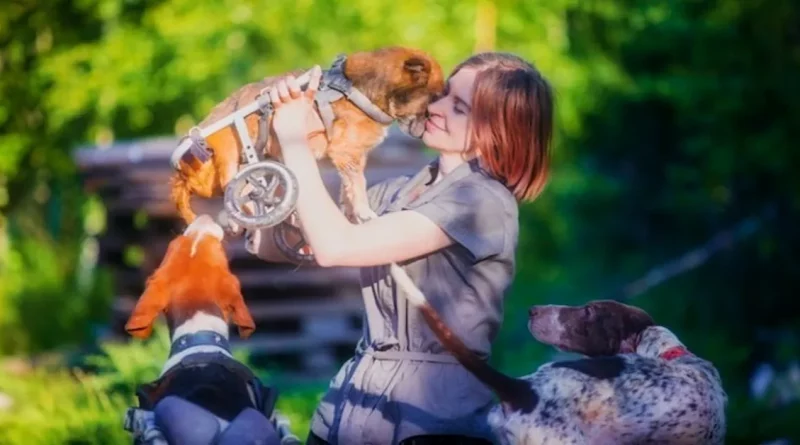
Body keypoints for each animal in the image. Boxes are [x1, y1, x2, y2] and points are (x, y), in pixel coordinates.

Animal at [170, 46, 444, 224]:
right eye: (432, 100)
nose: (428, 128)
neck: (358, 90)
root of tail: (181, 171)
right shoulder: (346, 153)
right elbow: (358, 184)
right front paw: (364, 211)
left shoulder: (353, 158)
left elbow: (349, 188)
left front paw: (351, 211)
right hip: (227, 151)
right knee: (228, 182)